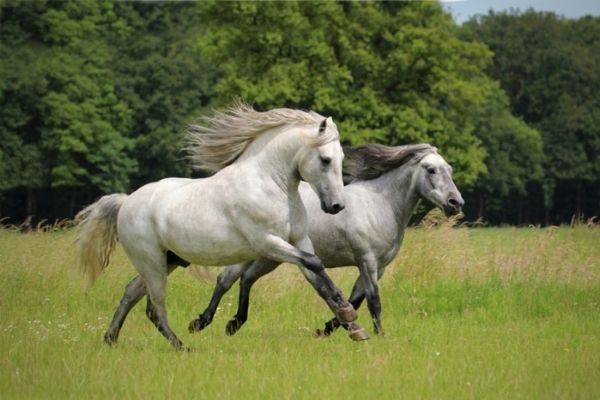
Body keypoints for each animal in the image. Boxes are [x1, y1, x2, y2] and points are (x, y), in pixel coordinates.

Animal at [75, 104, 366, 350]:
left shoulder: (298, 240)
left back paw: (111, 339)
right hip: (151, 262)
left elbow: (316, 276)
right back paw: (182, 347)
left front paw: (353, 326)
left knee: (132, 292)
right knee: (154, 308)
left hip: (167, 260)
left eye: (341, 157)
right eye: (326, 159)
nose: (336, 206)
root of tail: (126, 202)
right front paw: (347, 312)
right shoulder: (268, 243)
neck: (270, 185)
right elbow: (315, 264)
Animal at [188, 144, 464, 338]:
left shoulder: (379, 266)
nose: (456, 203)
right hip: (258, 252)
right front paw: (379, 335)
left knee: (246, 279)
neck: (379, 205)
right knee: (225, 280)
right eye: (431, 170)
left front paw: (328, 328)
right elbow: (373, 300)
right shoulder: (367, 261)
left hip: (270, 257)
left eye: (450, 170)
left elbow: (355, 299)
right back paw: (201, 323)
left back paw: (233, 323)